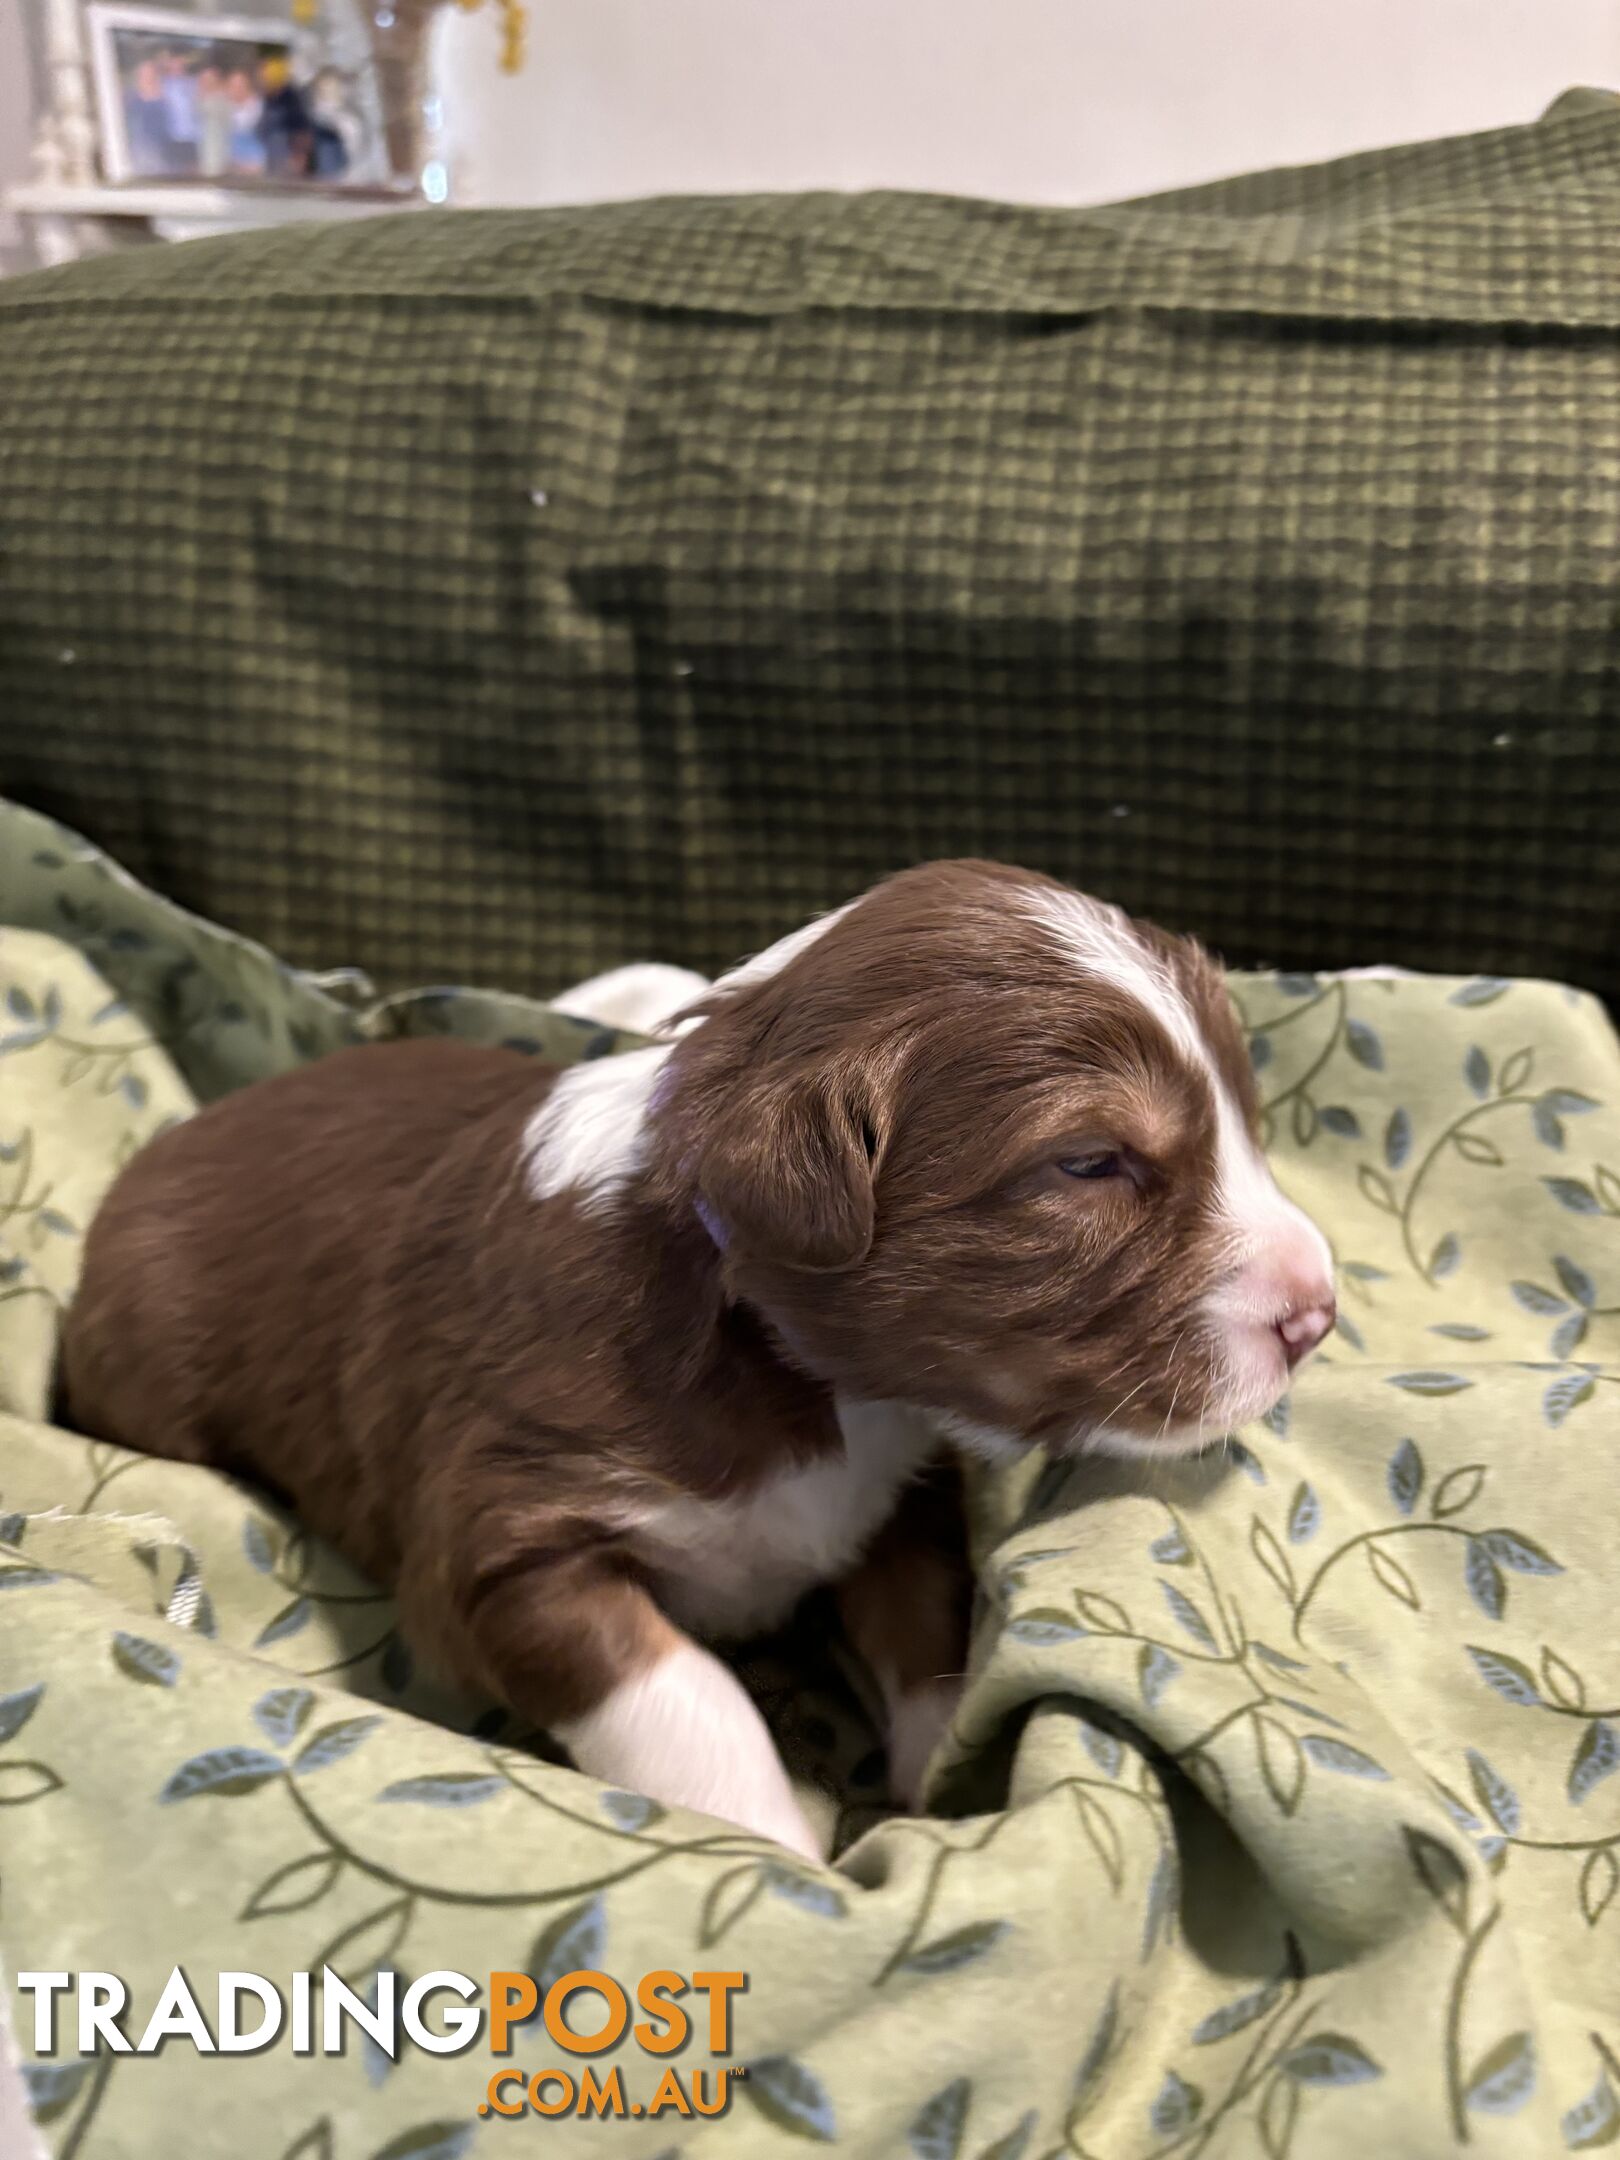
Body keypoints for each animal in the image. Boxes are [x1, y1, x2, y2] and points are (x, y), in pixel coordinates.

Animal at [60, 859, 1330, 1857]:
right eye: (1088, 1164)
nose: (1316, 1315)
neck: (793, 1367)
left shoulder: (902, 1493)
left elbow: (926, 1625)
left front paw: (932, 1780)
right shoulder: (501, 1539)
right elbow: (685, 1692)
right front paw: (775, 1849)